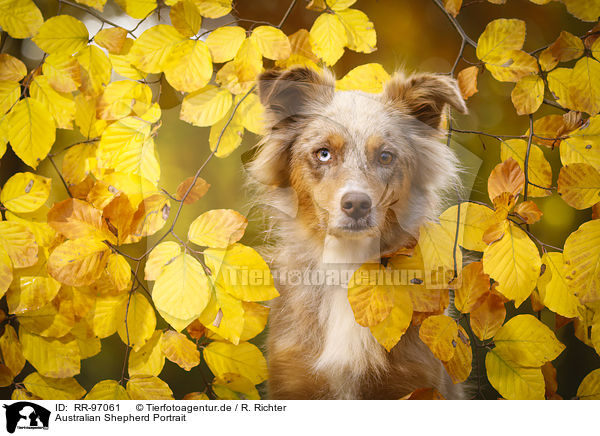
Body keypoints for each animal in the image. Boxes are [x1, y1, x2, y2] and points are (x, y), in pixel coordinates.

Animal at [245, 67, 468, 398]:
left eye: (386, 157)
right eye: (323, 154)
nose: (357, 205)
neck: (347, 264)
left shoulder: (418, 381)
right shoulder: (292, 376)